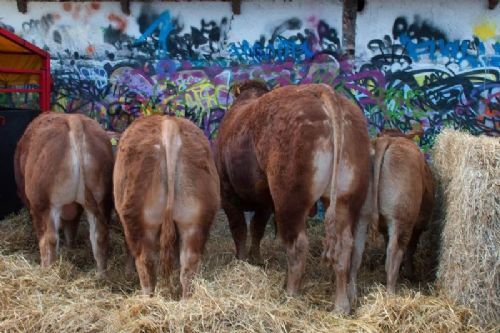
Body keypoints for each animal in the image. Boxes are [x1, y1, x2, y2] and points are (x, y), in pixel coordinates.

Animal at [14, 113, 115, 274]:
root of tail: (73, 119)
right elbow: (71, 228)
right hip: (101, 201)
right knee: (100, 237)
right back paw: (101, 274)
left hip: (45, 204)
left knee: (49, 239)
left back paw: (46, 269)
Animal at [115, 113, 221, 296]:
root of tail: (169, 124)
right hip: (194, 221)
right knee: (188, 265)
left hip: (140, 221)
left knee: (145, 263)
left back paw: (147, 298)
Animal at [215, 80, 372, 312]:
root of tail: (321, 90)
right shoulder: (265, 203)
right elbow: (257, 229)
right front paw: (256, 259)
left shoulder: (228, 195)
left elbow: (240, 230)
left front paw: (241, 260)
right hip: (346, 197)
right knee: (344, 246)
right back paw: (341, 305)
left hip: (289, 196)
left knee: (297, 245)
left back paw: (290, 293)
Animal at [348, 128, 434, 294]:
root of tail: (386, 140)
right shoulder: (419, 224)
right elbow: (411, 248)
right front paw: (409, 273)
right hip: (402, 218)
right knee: (394, 253)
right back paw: (391, 294)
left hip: (361, 216)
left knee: (356, 252)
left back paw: (352, 294)